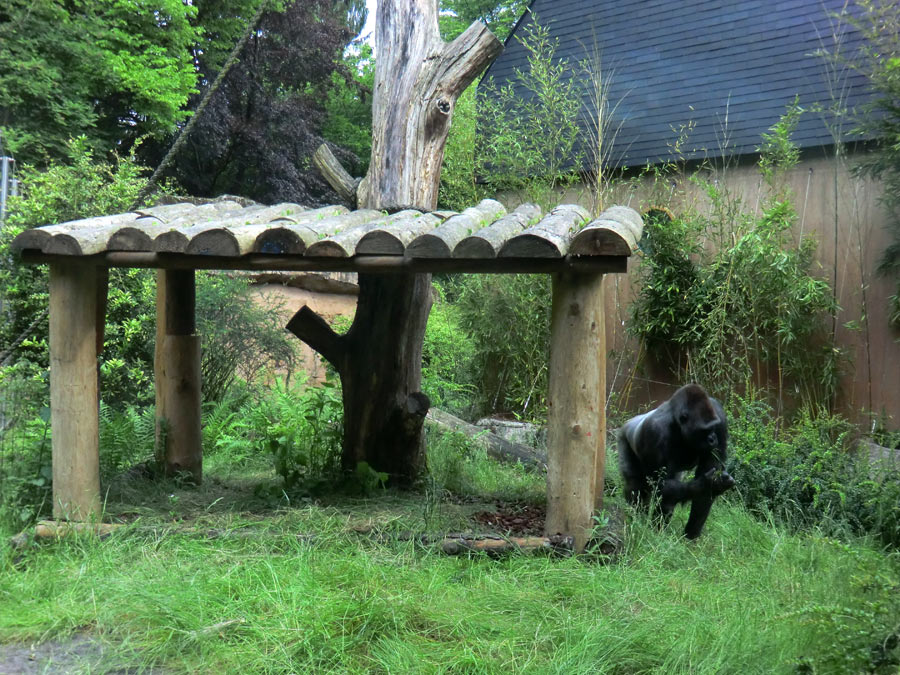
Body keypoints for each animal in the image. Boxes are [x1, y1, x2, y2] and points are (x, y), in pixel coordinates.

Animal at [620, 386, 740, 540]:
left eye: (713, 428)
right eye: (705, 430)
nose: (713, 439)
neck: (676, 423)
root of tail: (629, 422)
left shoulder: (718, 414)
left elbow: (708, 476)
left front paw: (691, 535)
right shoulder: (653, 432)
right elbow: (660, 486)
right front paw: (708, 484)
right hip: (623, 437)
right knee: (636, 485)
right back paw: (638, 519)